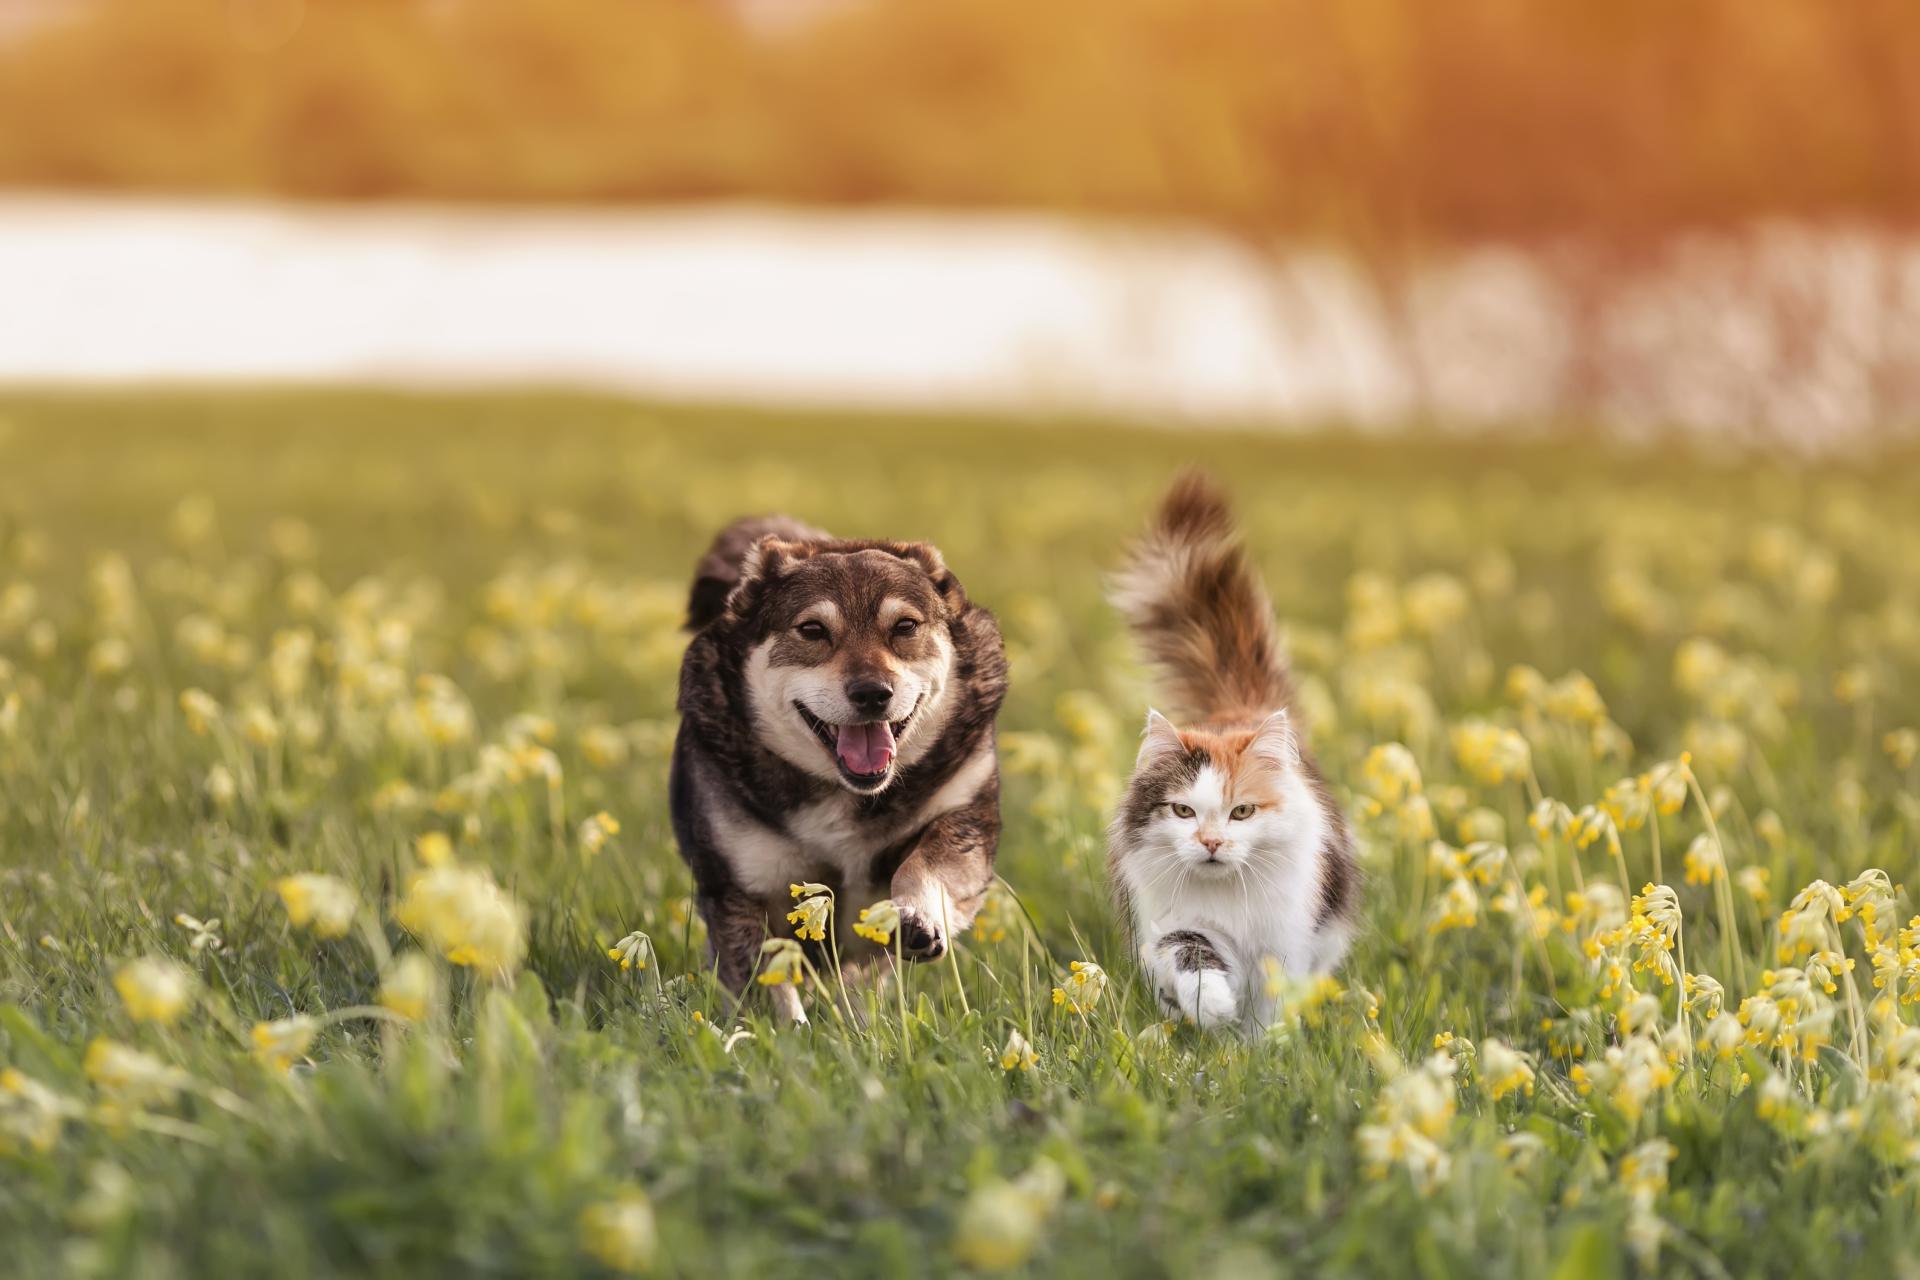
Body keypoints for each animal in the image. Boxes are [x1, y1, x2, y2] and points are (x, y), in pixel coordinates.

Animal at [672, 510, 1013, 1020]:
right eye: (813, 630)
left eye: (905, 626)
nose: (872, 693)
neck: (846, 792)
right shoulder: (739, 888)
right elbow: (765, 978)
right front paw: (785, 1033)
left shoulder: (964, 810)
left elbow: (930, 860)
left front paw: (917, 917)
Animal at [1105, 475, 1359, 1036]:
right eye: (1183, 811)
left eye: (1242, 811)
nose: (1212, 842)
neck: (1227, 898)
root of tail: (1237, 708)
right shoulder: (1173, 923)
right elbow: (1191, 956)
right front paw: (1212, 1010)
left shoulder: (1283, 943)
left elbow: (1270, 1009)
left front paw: (1259, 1047)